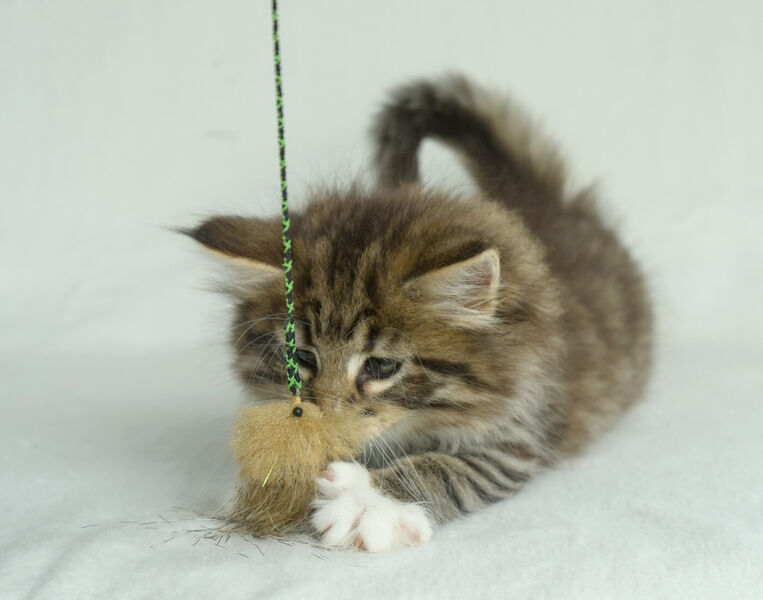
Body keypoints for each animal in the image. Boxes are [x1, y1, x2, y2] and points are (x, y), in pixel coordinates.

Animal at [185, 76, 652, 552]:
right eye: (301, 357)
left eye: (381, 366)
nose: (327, 416)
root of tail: (550, 208)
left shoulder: (522, 433)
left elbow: (448, 470)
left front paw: (368, 502)